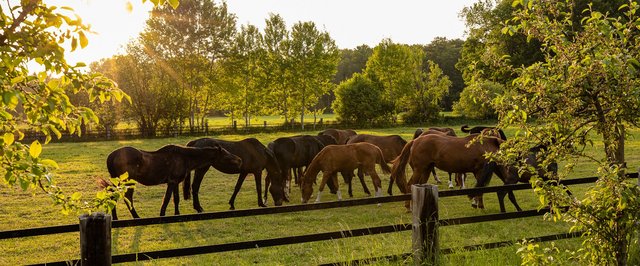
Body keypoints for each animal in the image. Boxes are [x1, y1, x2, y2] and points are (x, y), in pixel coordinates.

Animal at [102, 144, 242, 219]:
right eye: (226, 155)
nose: (239, 160)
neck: (185, 158)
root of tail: (111, 156)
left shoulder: (175, 182)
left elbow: (176, 199)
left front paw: (177, 214)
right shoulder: (172, 181)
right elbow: (167, 199)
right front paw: (162, 214)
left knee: (115, 196)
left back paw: (116, 218)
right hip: (126, 182)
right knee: (126, 198)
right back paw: (135, 217)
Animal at [390, 134, 520, 213]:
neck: (485, 146)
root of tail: (414, 141)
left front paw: (476, 204)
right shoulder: (479, 172)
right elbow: (480, 190)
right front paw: (480, 206)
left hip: (426, 170)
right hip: (419, 170)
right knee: (409, 186)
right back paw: (408, 207)